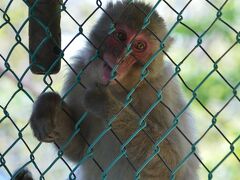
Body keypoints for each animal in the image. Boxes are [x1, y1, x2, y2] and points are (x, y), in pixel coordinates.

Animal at [15, 1, 199, 180]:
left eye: (140, 46)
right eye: (120, 36)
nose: (121, 57)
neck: (119, 87)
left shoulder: (162, 93)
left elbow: (172, 165)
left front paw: (106, 105)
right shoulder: (79, 74)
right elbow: (79, 149)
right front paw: (46, 106)